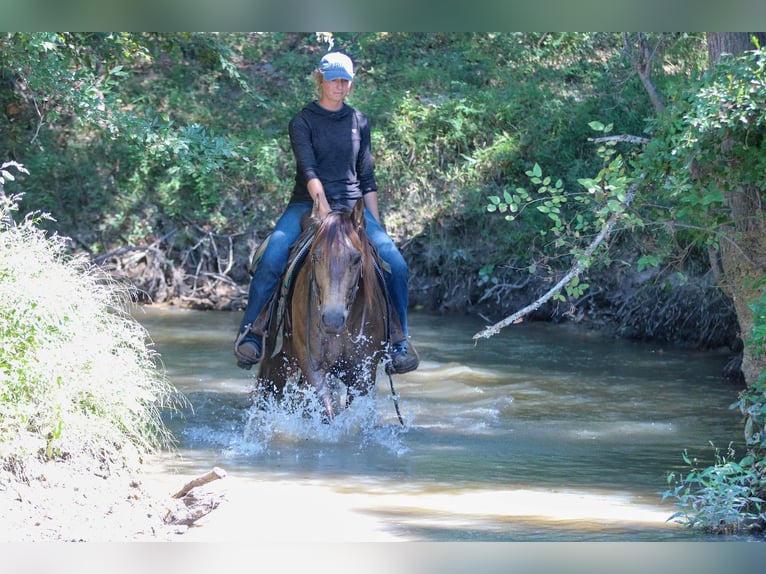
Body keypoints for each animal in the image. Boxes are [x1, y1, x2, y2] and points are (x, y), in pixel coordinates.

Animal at [255, 198, 390, 422]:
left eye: (356, 258)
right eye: (316, 257)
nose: (332, 320)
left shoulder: (363, 372)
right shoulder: (312, 364)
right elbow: (327, 412)